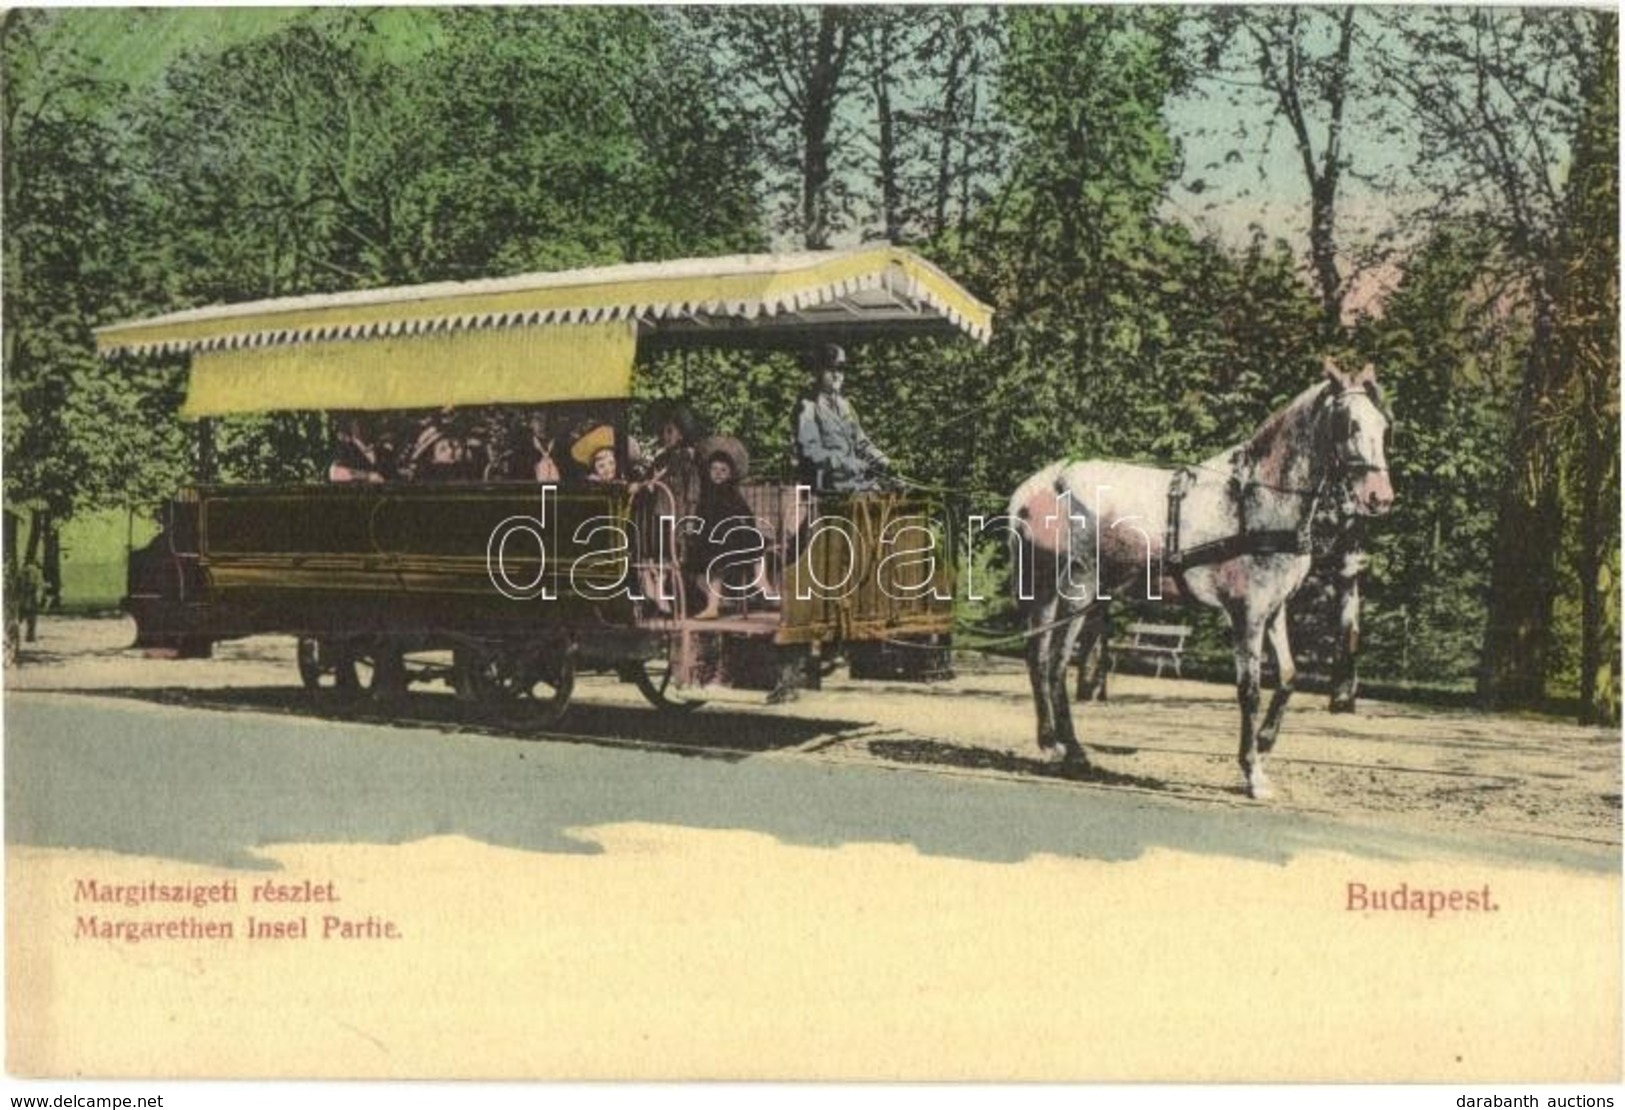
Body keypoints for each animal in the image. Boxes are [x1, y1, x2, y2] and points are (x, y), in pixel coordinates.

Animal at [1007, 360, 1391, 793]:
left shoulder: (1274, 608)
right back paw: (1072, 751)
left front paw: (1265, 742)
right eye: (1349, 424)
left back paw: (1050, 743)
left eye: (1383, 426)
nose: (1381, 497)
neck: (1257, 500)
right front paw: (1252, 771)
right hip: (1078, 589)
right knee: (1056, 663)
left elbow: (1289, 677)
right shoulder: (1247, 612)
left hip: (1046, 589)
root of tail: (1034, 487)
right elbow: (1249, 689)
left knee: (1038, 657)